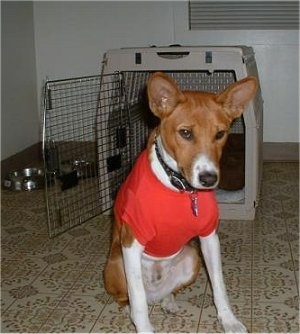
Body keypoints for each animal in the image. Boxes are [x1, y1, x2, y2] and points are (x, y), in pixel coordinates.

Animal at [103, 72, 258, 332]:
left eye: (220, 134)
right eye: (186, 133)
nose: (209, 178)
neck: (180, 188)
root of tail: (155, 293)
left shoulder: (209, 237)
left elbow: (220, 287)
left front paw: (229, 320)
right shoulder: (132, 243)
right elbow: (138, 301)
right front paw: (143, 327)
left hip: (192, 258)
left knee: (168, 291)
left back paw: (168, 301)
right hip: (115, 265)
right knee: (131, 297)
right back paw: (128, 310)